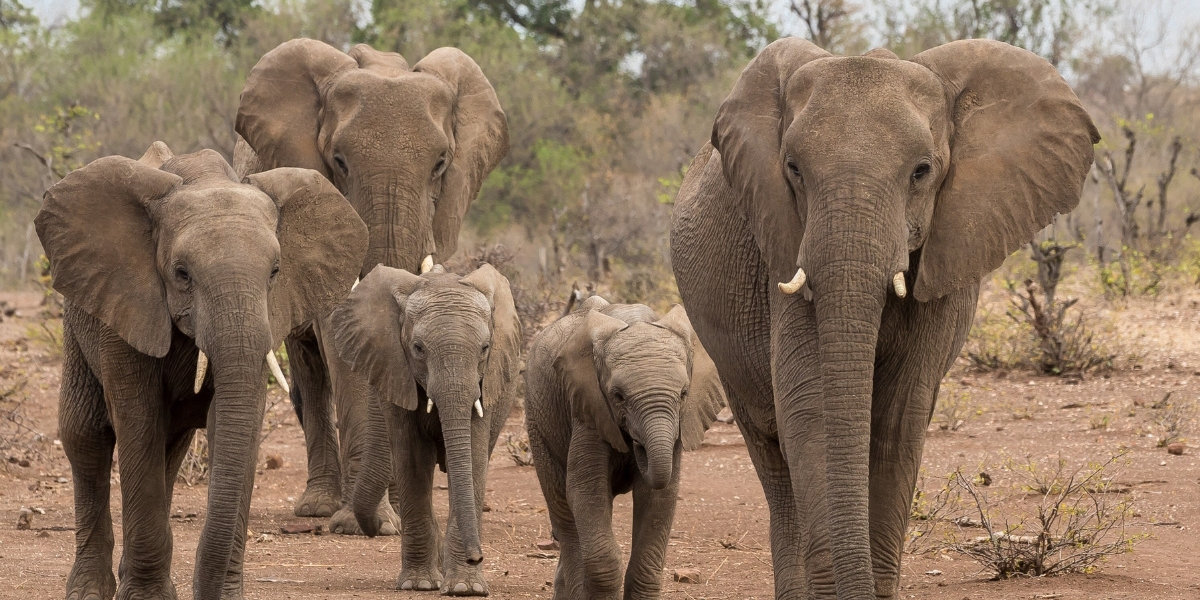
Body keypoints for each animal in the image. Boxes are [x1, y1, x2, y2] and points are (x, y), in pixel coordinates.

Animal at [36, 141, 364, 600]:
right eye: (182, 274)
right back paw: (89, 591)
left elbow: (237, 425)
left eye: (275, 272)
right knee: (86, 436)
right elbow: (137, 423)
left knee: (170, 448)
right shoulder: (125, 310)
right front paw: (146, 598)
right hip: (80, 321)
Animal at [234, 37, 511, 535]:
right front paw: (362, 524)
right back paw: (319, 507)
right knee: (309, 366)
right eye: (339, 162)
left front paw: (395, 516)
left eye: (441, 163)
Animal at [324, 264, 520, 595]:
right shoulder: (397, 373)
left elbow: (472, 458)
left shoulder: (486, 382)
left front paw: (465, 589)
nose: (477, 556)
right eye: (417, 348)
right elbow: (412, 460)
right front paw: (420, 584)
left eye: (485, 348)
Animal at [528, 297, 729, 597]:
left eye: (683, 394)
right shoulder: (589, 407)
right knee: (564, 513)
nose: (637, 448)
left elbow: (660, 497)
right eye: (618, 396)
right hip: (537, 421)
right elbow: (585, 491)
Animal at [672, 39, 1099, 597]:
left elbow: (899, 415)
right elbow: (810, 407)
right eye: (793, 169)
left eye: (922, 171)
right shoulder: (783, 244)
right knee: (768, 446)